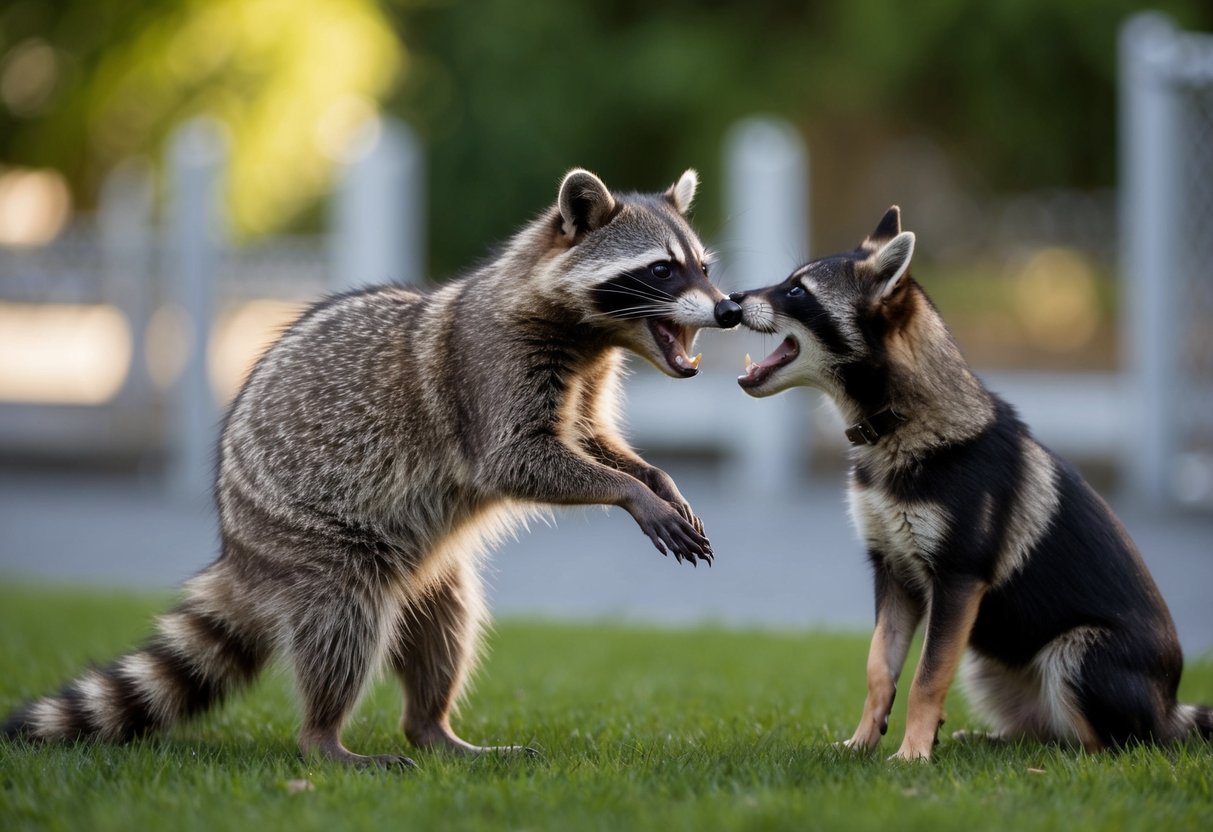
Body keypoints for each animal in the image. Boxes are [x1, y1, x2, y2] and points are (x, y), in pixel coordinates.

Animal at [4, 169, 743, 768]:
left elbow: (590, 438)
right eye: (662, 271)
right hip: (312, 540)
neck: (593, 338)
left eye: (703, 266)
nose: (730, 308)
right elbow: (516, 460)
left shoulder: (585, 385)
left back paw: (432, 728)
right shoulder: (493, 366)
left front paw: (652, 479)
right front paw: (628, 493)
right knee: (343, 623)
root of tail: (237, 548)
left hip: (427, 571)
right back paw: (324, 739)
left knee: (446, 628)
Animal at [731, 207, 1212, 760]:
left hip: (1076, 657)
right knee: (1042, 733)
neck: (902, 427)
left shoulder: (957, 581)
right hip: (987, 666)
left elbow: (926, 678)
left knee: (1108, 748)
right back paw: (984, 740)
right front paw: (862, 744)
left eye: (797, 291)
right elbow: (879, 670)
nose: (729, 300)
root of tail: (1172, 709)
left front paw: (912, 755)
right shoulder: (893, 572)